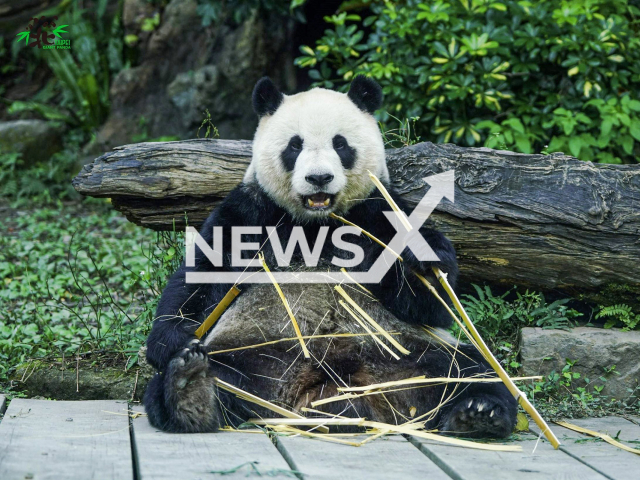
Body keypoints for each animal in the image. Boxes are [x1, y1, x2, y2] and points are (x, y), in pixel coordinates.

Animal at [142, 76, 516, 438]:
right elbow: (204, 272)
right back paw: (188, 388)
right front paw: (175, 339)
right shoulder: (252, 211)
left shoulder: (376, 213)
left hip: (408, 349)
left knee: (469, 371)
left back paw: (479, 413)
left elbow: (428, 305)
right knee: (208, 378)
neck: (317, 224)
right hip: (254, 350)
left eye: (340, 144)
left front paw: (423, 258)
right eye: (295, 145)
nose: (319, 178)